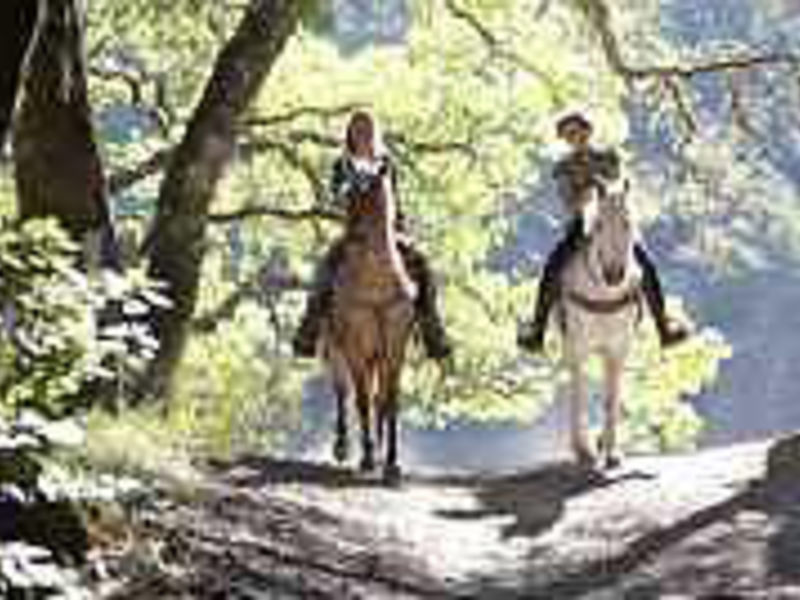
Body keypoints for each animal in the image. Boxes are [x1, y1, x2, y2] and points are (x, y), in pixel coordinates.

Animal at [320, 165, 416, 482]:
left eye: (358, 190)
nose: (348, 236)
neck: (376, 282)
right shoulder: (355, 347)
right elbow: (360, 399)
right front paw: (368, 457)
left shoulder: (395, 348)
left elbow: (390, 400)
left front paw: (392, 463)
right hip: (336, 350)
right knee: (342, 391)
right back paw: (343, 446)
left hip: (378, 356)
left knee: (378, 399)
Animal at [560, 183, 640, 468]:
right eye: (599, 225)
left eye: (628, 223)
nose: (614, 275)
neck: (603, 295)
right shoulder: (578, 348)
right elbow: (579, 394)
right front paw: (582, 450)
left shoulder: (618, 349)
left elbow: (611, 397)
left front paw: (612, 450)